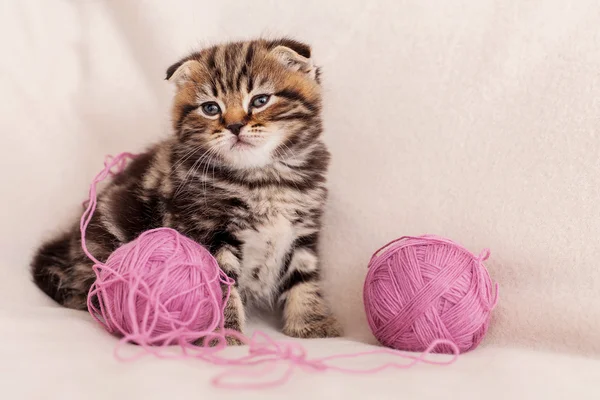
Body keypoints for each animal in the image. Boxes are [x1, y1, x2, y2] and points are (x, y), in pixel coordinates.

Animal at [31, 37, 342, 342]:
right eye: (211, 108)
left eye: (261, 100)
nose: (235, 126)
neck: (263, 179)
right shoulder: (205, 229)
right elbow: (219, 286)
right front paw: (222, 333)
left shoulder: (303, 228)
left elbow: (304, 275)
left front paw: (310, 322)